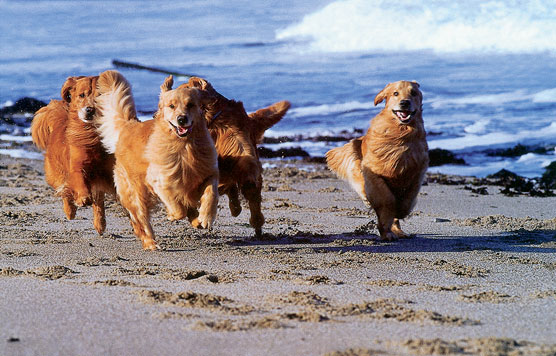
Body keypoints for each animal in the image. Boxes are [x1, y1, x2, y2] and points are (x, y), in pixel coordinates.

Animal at [31, 76, 115, 236]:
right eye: (82, 95)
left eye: (100, 95)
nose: (89, 110)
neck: (92, 134)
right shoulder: (76, 166)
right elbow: (79, 182)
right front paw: (82, 199)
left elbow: (100, 198)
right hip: (56, 173)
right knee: (64, 190)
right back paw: (70, 210)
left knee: (97, 201)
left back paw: (100, 224)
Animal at [94, 71, 218, 250]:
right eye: (171, 106)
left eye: (191, 105)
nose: (182, 119)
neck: (185, 146)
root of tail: (128, 126)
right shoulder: (160, 181)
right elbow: (177, 207)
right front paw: (173, 215)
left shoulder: (208, 172)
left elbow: (211, 193)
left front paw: (205, 217)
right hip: (136, 192)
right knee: (141, 220)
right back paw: (150, 242)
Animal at [324, 80, 428, 241]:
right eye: (395, 93)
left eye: (414, 93)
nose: (404, 103)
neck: (401, 134)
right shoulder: (374, 175)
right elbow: (387, 199)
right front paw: (385, 229)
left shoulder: (417, 173)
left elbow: (407, 201)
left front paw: (399, 213)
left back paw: (398, 231)